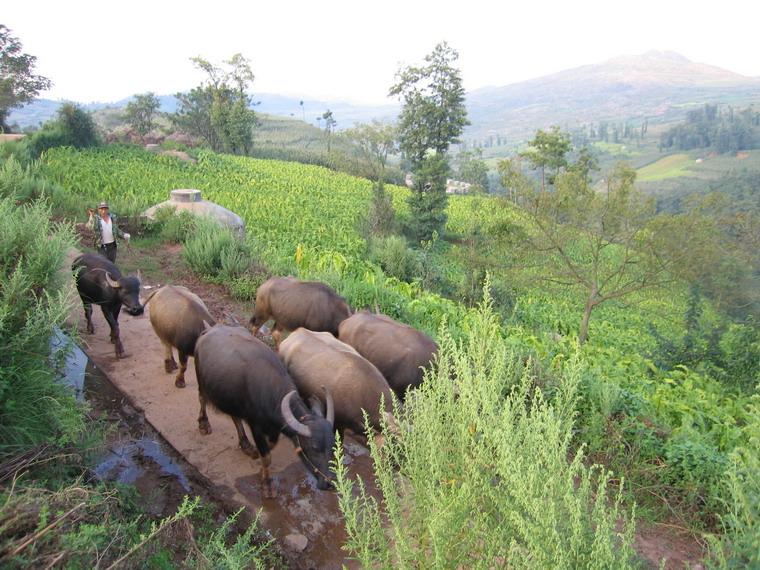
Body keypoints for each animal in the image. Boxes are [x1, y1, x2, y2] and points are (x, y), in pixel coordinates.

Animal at [194, 324, 334, 496]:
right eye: (313, 448)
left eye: (332, 446)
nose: (329, 483)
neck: (271, 393)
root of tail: (208, 330)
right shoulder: (256, 427)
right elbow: (267, 456)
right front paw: (267, 485)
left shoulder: (274, 429)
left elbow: (270, 447)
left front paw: (259, 463)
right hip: (201, 380)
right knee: (202, 399)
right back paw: (204, 424)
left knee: (235, 416)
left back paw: (246, 445)